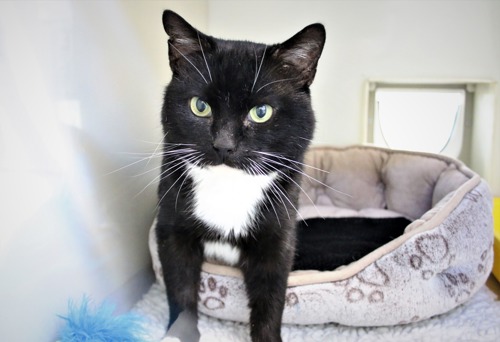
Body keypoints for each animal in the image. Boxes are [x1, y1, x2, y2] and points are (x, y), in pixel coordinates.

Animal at [156, 10, 326, 342]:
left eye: (261, 112)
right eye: (200, 106)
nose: (224, 145)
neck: (228, 187)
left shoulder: (278, 236)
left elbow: (270, 299)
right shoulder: (171, 229)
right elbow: (180, 288)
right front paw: (180, 333)